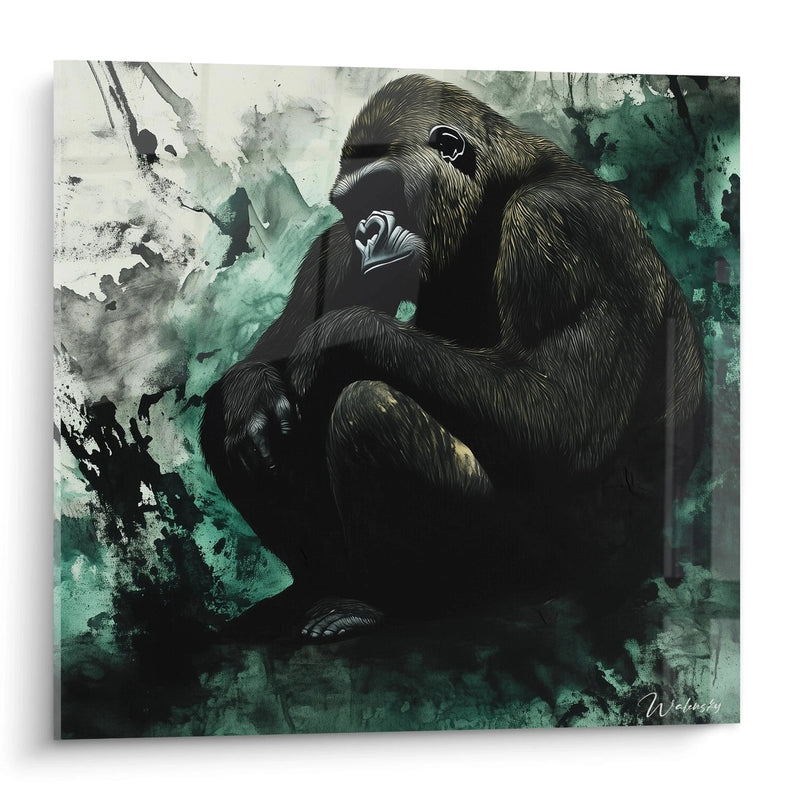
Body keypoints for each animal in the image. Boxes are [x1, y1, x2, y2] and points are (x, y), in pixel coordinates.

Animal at [200, 74, 705, 640]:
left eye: (381, 190)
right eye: (352, 207)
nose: (367, 229)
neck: (497, 190)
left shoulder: (561, 224)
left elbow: (565, 422)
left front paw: (339, 335)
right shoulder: (336, 248)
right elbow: (264, 361)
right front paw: (255, 394)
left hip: (532, 568)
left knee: (369, 413)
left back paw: (392, 604)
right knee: (239, 418)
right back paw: (318, 585)